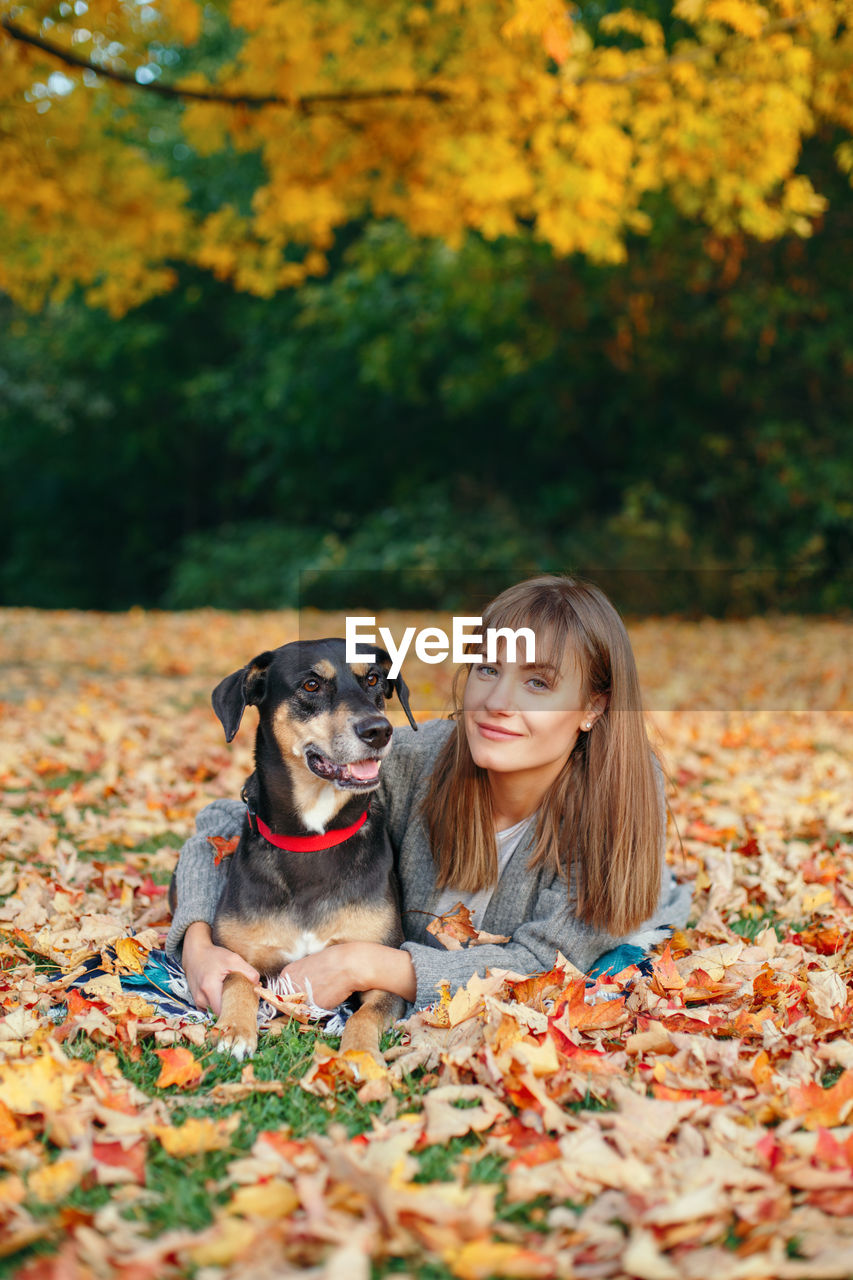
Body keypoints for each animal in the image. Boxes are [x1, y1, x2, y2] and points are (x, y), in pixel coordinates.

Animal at [197, 634, 414, 1064]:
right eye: (311, 685)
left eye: (373, 680)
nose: (379, 731)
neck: (313, 837)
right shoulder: (238, 955)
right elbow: (236, 980)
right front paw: (234, 1031)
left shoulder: (382, 970)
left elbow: (364, 1015)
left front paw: (359, 1055)